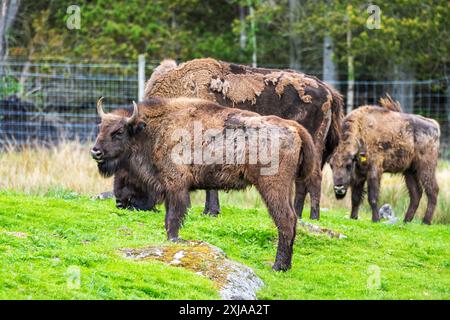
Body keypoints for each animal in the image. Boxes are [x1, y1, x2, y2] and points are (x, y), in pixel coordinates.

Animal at [92, 97, 316, 270]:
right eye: (100, 128)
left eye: (119, 132)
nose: (95, 152)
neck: (153, 129)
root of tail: (294, 128)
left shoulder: (176, 186)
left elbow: (173, 218)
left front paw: (173, 240)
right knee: (292, 219)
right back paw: (285, 265)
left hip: (272, 187)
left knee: (285, 220)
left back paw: (278, 266)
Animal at [113, 58, 344, 220]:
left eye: (130, 168)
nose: (121, 202)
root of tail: (328, 90)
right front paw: (209, 210)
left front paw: (211, 211)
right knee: (302, 181)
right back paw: (299, 213)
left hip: (313, 144)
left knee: (314, 179)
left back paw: (313, 217)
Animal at [328, 96, 442, 224]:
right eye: (331, 165)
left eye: (348, 165)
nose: (338, 188)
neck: (361, 131)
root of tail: (434, 125)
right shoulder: (358, 176)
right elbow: (356, 197)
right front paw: (353, 217)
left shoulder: (374, 170)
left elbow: (372, 197)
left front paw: (375, 219)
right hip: (409, 171)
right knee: (416, 193)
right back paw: (406, 220)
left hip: (426, 167)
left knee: (432, 190)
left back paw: (425, 221)